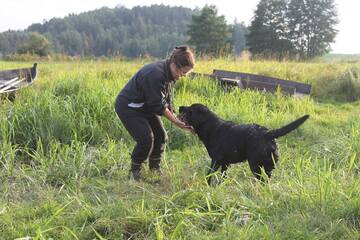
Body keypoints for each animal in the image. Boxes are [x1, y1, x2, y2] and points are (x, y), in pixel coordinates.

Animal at [179, 103, 308, 184]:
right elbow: (223, 177)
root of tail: (268, 133)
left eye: (190, 110)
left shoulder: (216, 160)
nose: (180, 107)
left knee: (263, 182)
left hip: (255, 166)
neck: (211, 127)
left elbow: (208, 175)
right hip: (268, 166)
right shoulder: (225, 163)